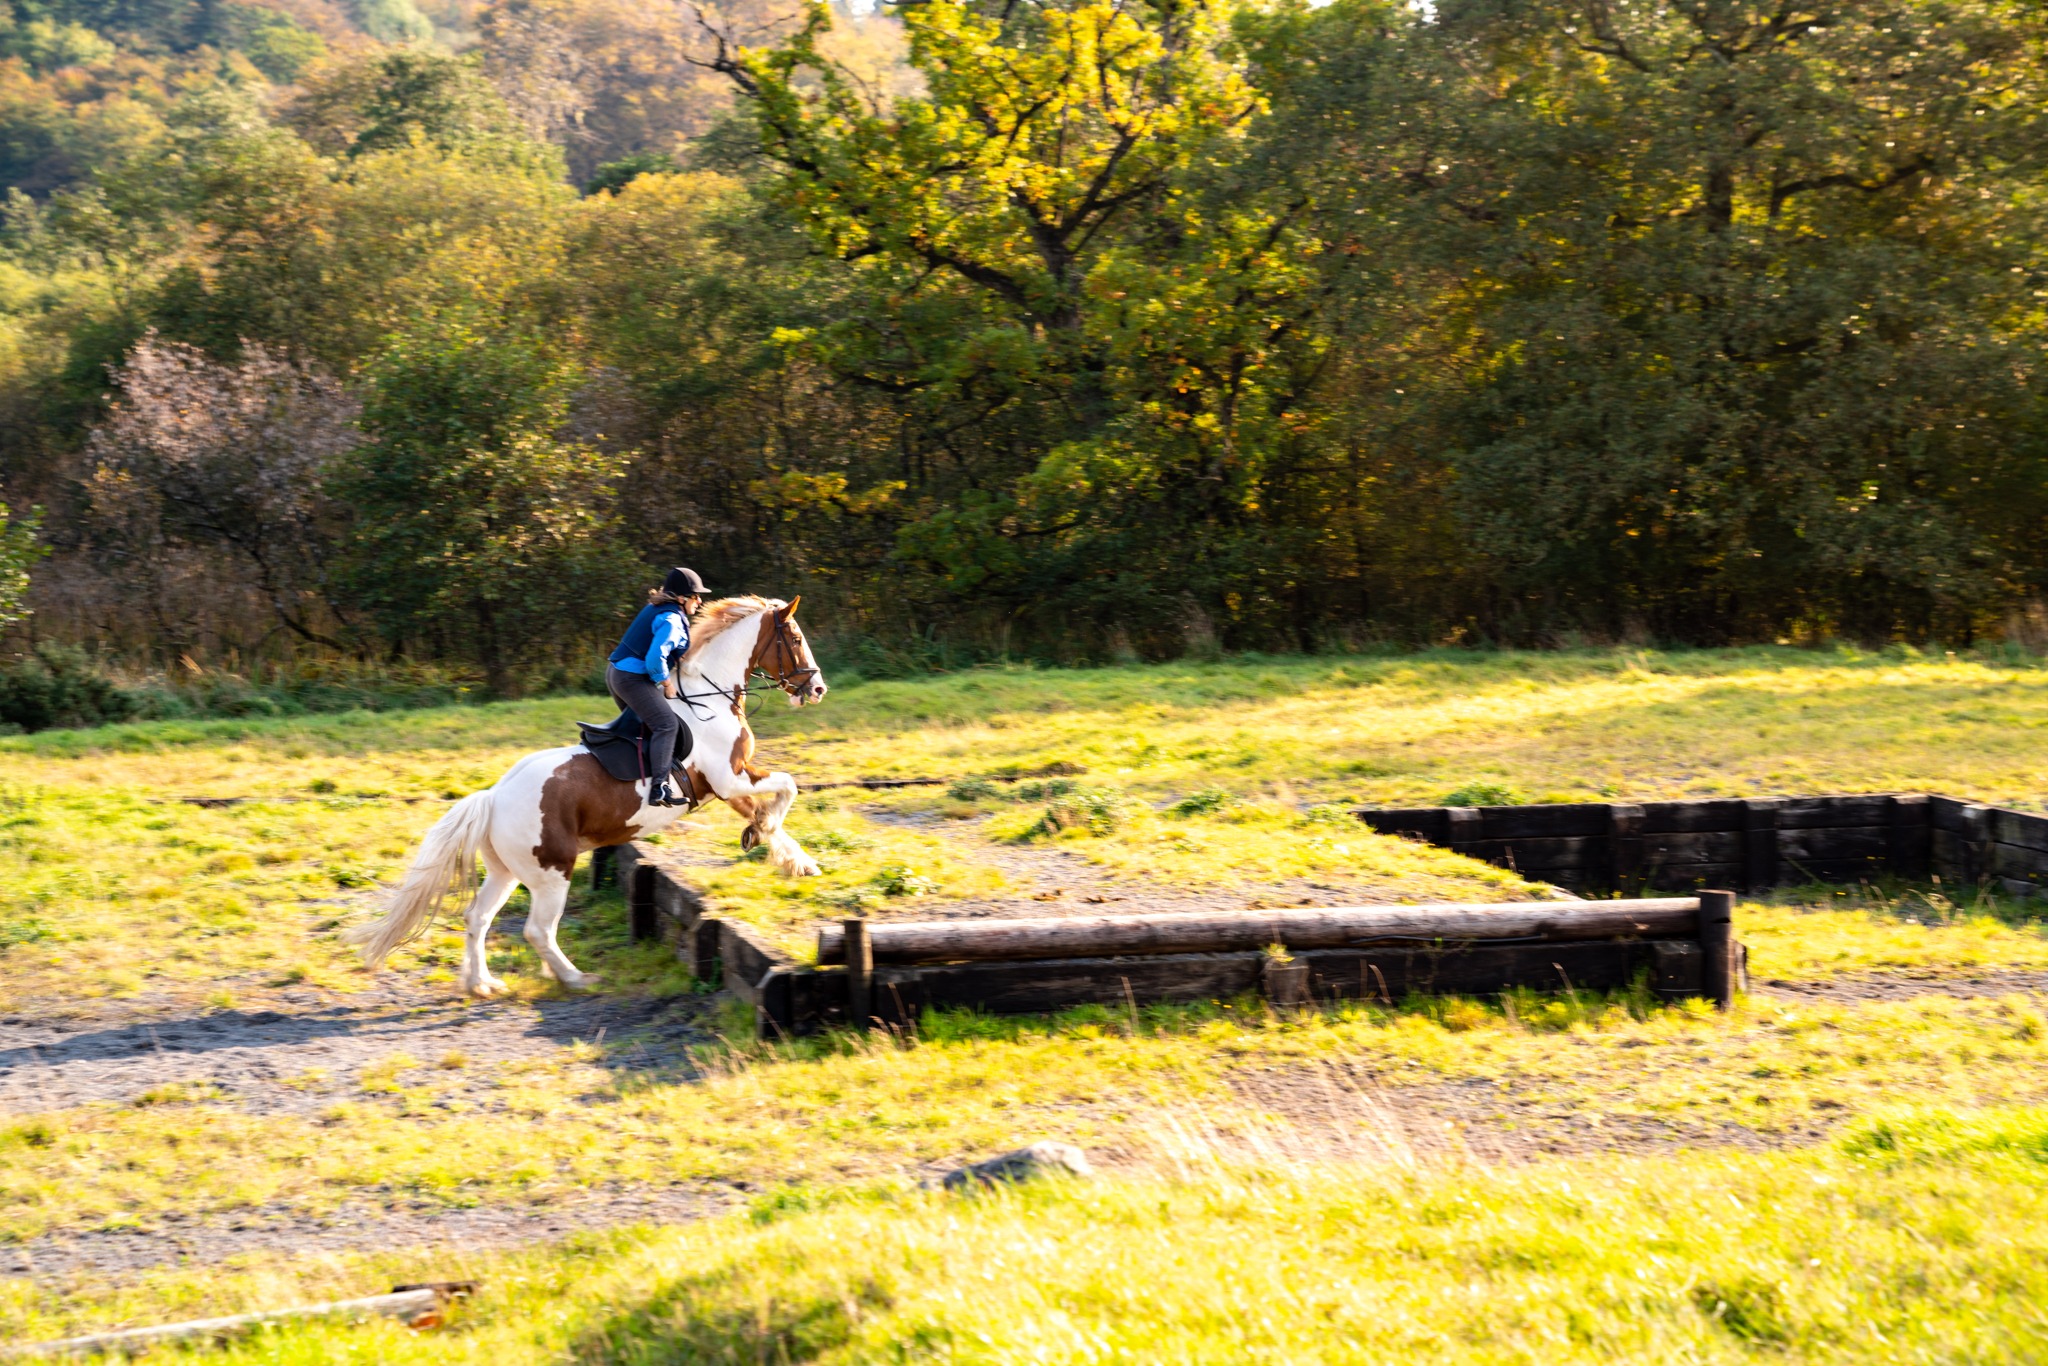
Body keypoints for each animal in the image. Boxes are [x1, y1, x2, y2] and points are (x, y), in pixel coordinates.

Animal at [344, 595, 827, 997]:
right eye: (796, 639)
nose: (817, 688)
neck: (709, 699)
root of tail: (494, 797)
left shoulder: (728, 784)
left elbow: (770, 808)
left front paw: (789, 855)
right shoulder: (728, 779)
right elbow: (787, 786)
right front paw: (774, 840)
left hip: (506, 871)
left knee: (477, 917)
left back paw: (481, 983)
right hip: (553, 870)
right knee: (538, 930)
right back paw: (575, 978)